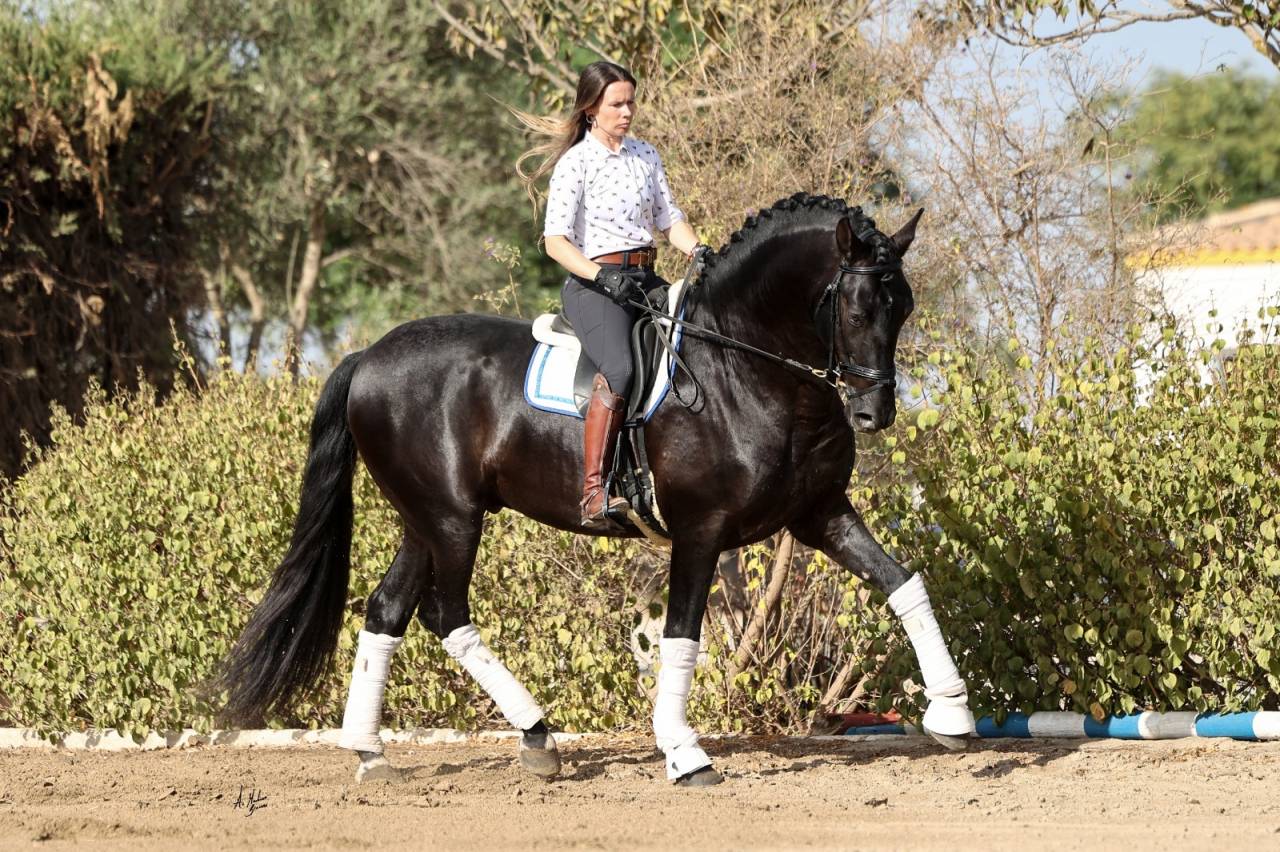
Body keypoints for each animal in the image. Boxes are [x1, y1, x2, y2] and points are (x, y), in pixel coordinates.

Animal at [214, 193, 976, 787]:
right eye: (855, 308)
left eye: (903, 307)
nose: (875, 413)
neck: (744, 366)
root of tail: (367, 357)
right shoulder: (700, 530)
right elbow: (681, 635)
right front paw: (684, 753)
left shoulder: (820, 514)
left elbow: (903, 581)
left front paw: (953, 714)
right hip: (453, 518)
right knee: (445, 615)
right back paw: (537, 736)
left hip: (423, 520)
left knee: (387, 610)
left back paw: (372, 754)